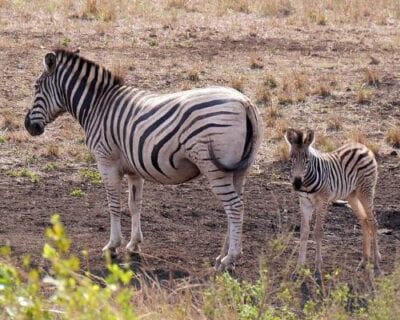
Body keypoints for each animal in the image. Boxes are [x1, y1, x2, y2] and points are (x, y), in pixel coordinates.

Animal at [24, 50, 262, 270]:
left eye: (36, 87)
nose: (28, 126)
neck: (97, 105)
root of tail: (244, 102)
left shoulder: (106, 161)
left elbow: (114, 204)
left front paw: (113, 246)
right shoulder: (133, 168)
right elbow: (134, 204)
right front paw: (134, 245)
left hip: (214, 168)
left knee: (234, 207)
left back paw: (230, 258)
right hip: (240, 169)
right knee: (237, 206)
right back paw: (222, 257)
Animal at [286, 127, 380, 280]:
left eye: (307, 161)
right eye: (291, 160)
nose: (297, 184)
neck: (306, 183)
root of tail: (362, 146)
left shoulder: (322, 202)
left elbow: (318, 232)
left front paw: (317, 270)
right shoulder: (304, 203)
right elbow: (304, 233)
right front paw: (298, 269)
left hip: (366, 191)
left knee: (373, 223)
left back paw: (376, 264)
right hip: (352, 196)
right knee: (364, 221)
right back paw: (364, 261)